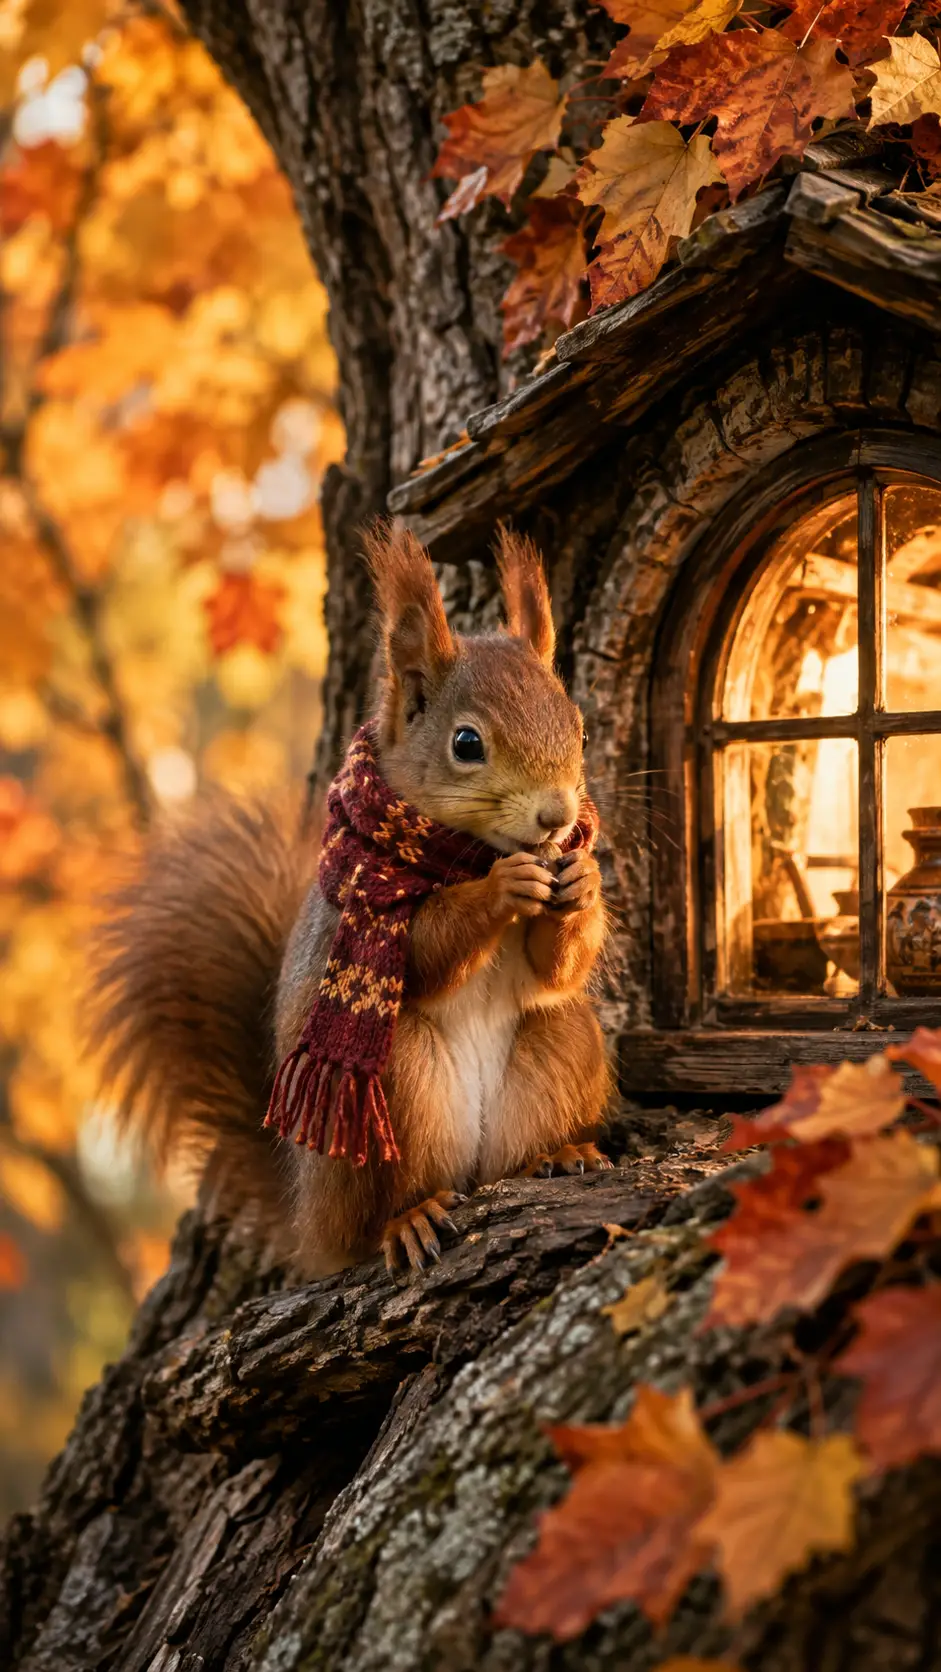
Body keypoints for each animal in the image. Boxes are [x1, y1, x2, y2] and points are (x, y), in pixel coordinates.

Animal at [89, 522, 612, 1278]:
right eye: (466, 743)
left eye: (580, 728)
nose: (557, 817)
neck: (469, 849)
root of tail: (311, 1221)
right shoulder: (365, 914)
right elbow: (424, 952)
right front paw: (501, 889)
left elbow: (556, 971)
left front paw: (583, 883)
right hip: (389, 1088)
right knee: (381, 1212)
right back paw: (406, 1220)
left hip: (560, 1041)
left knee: (523, 1120)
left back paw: (559, 1153)